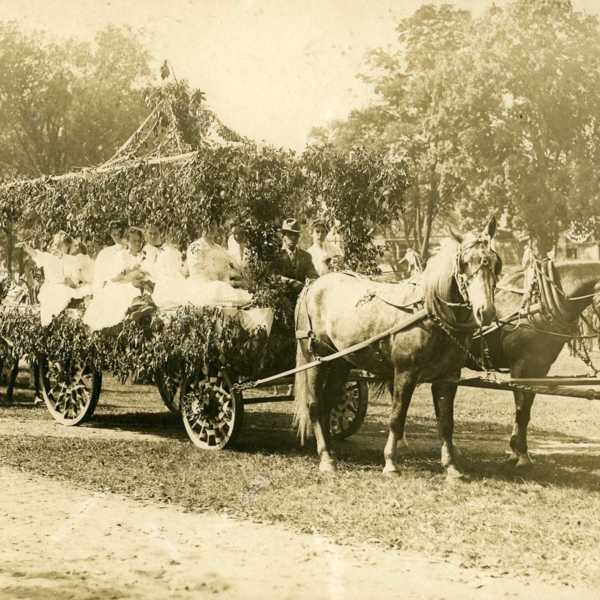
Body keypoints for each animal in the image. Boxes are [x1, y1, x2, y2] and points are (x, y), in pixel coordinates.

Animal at [292, 218, 500, 476]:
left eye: (495, 262)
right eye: (464, 263)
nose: (486, 311)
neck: (430, 312)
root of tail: (313, 285)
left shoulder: (448, 378)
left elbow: (446, 423)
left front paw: (451, 467)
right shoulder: (404, 374)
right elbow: (396, 418)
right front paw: (390, 463)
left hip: (340, 361)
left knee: (329, 403)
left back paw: (330, 451)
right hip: (315, 358)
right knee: (315, 405)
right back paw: (325, 458)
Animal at [472, 260, 600, 466]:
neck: (536, 306)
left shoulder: (539, 368)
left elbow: (527, 408)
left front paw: (517, 451)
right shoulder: (521, 367)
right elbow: (521, 410)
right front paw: (522, 454)